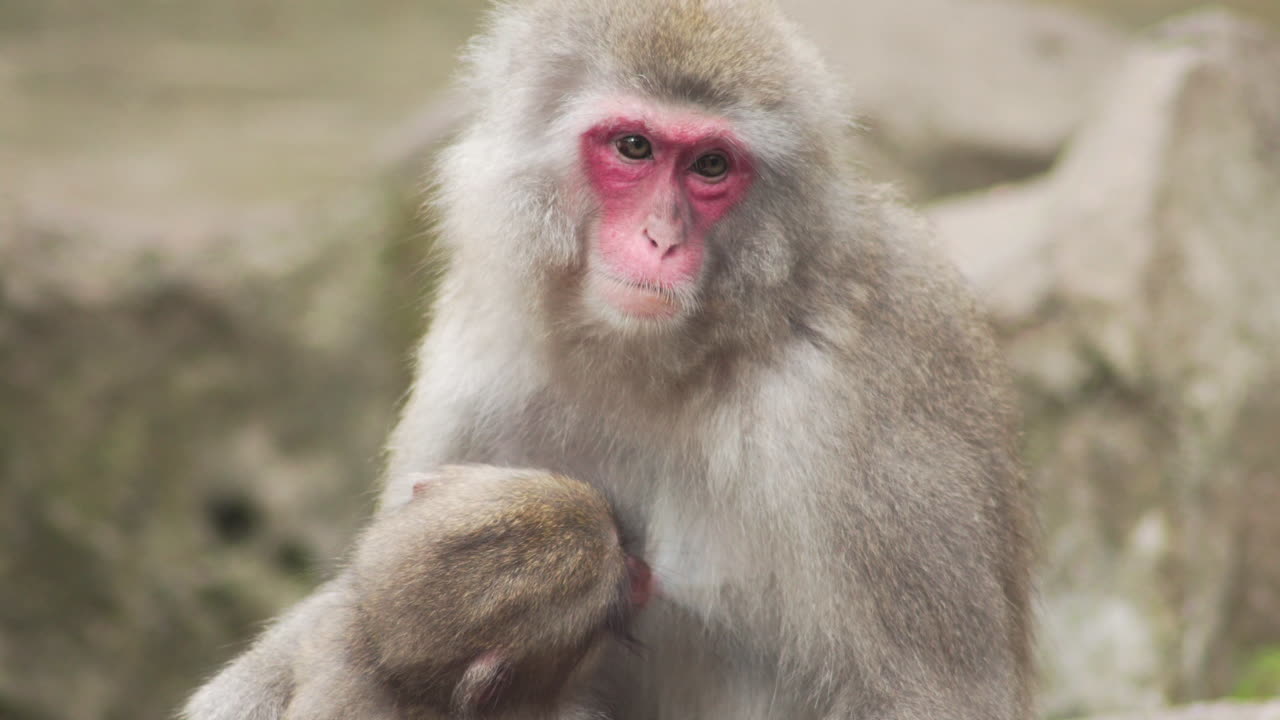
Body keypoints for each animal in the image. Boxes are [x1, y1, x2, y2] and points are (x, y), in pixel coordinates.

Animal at [186, 1, 1034, 719]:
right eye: (634, 147)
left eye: (711, 167)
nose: (660, 239)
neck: (660, 361)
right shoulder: (484, 357)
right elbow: (367, 606)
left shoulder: (852, 407)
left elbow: (924, 697)